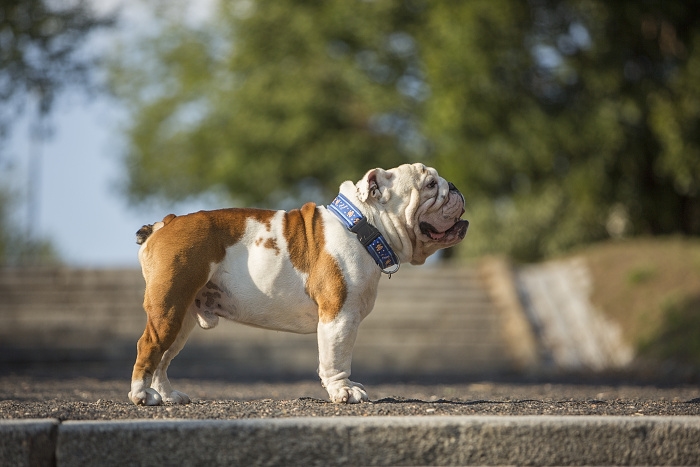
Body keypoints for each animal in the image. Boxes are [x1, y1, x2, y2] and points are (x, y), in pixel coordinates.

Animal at [131, 164, 470, 406]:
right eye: (429, 185)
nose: (454, 186)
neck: (363, 225)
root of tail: (165, 223)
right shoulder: (339, 315)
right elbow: (337, 356)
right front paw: (344, 391)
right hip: (169, 305)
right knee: (149, 346)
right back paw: (142, 396)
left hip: (182, 315)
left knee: (163, 358)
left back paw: (167, 396)